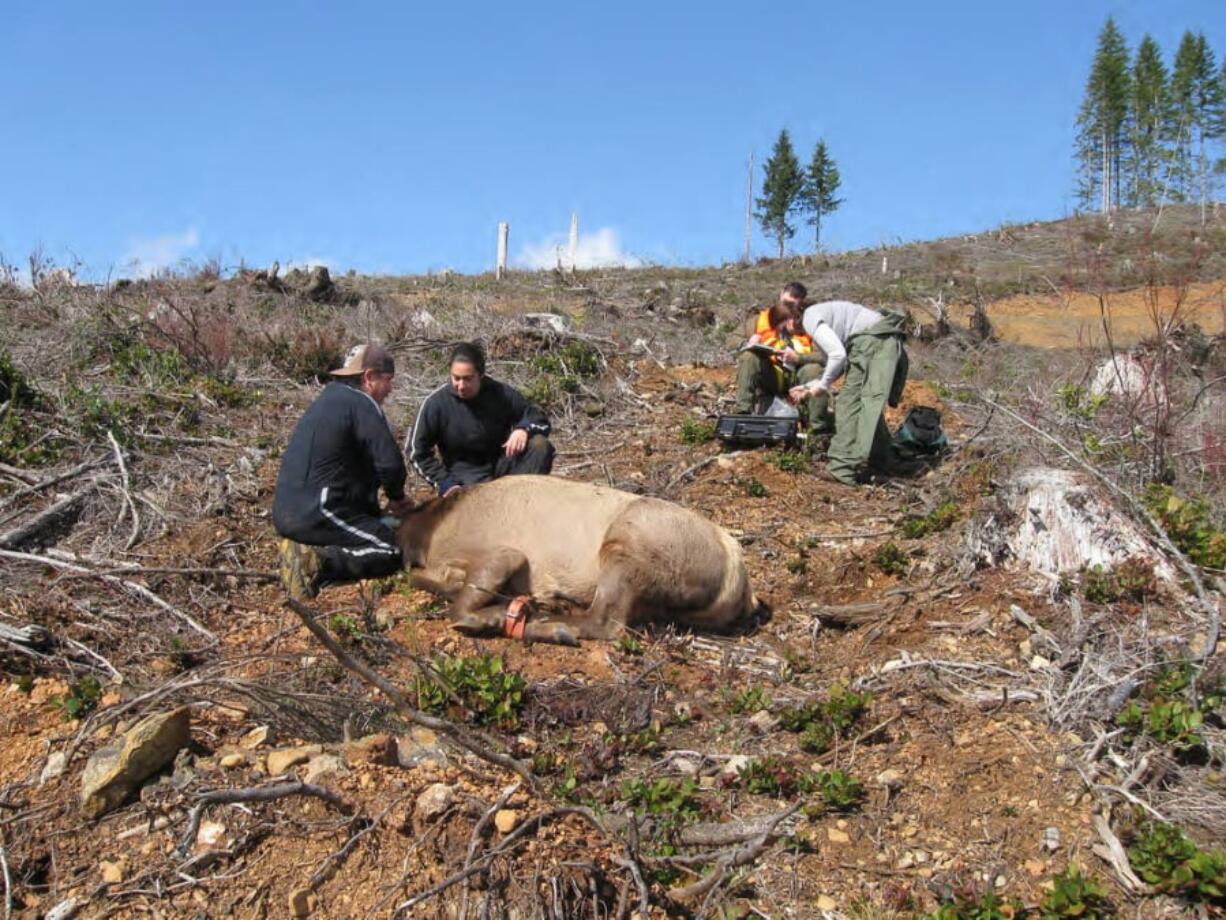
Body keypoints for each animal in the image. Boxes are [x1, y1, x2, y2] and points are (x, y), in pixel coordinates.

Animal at [397, 478, 755, 642]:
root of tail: (738, 581)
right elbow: (423, 578)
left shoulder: (502, 553)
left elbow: (457, 607)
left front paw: (491, 616)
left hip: (625, 545)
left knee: (606, 621)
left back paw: (548, 624)